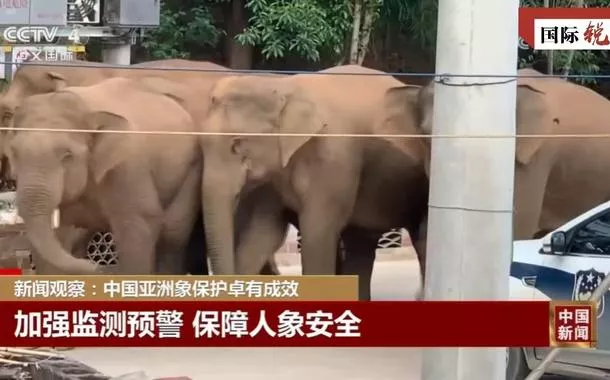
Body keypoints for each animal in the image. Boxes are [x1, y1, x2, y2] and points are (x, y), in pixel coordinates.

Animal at [7, 76, 203, 274]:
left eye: (67, 155)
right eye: (14, 152)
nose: (96, 267)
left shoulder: (128, 166)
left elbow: (139, 225)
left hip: (190, 169)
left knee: (172, 234)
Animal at [200, 64, 428, 300]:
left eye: (236, 145)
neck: (282, 86)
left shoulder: (335, 158)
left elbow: (316, 235)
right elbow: (265, 231)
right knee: (361, 243)